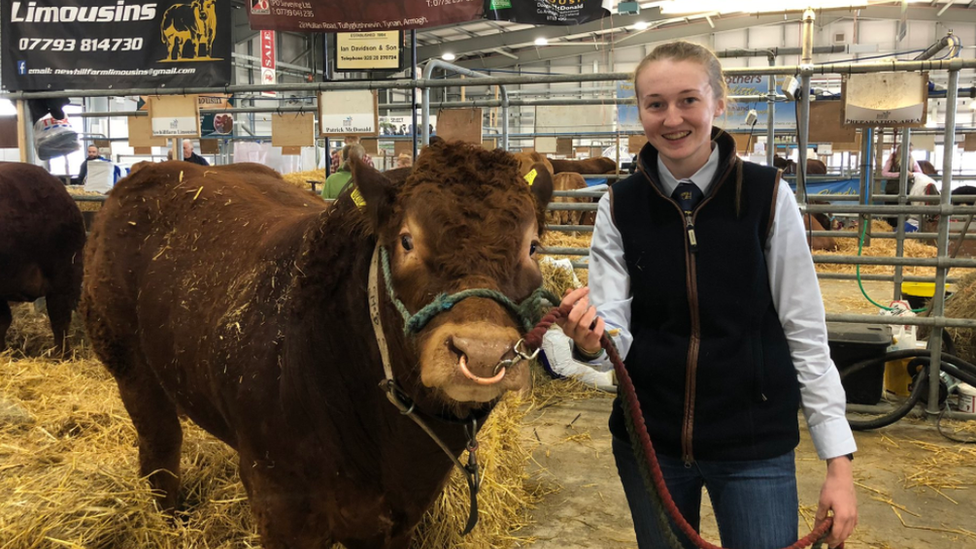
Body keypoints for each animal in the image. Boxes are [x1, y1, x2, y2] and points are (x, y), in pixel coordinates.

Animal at [80, 140, 552, 548]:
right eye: (406, 240)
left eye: (532, 246)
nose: (482, 352)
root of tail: (155, 170)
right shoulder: (280, 503)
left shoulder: (399, 517)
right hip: (129, 365)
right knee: (160, 445)